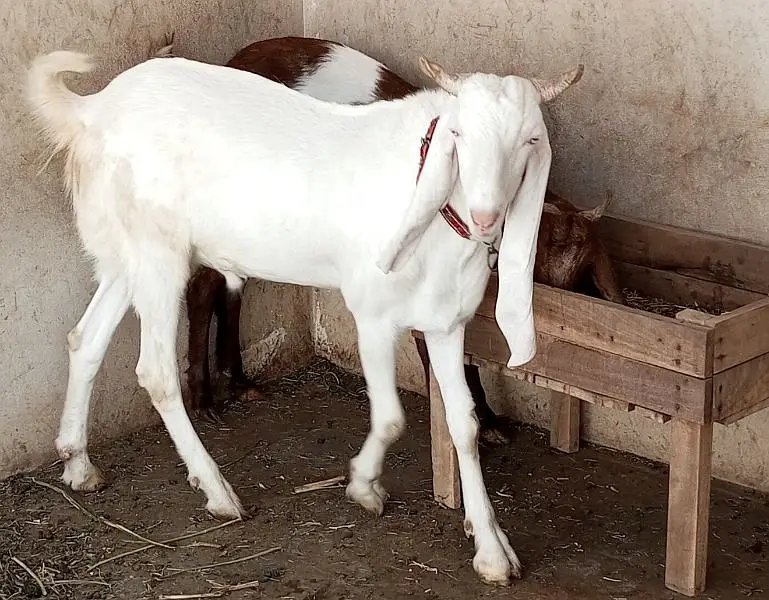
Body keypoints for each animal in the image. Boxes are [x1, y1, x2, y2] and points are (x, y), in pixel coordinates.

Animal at [28, 47, 582, 584]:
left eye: (530, 140)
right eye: (458, 134)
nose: (487, 215)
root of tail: (94, 109)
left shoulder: (445, 323)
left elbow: (462, 424)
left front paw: (491, 550)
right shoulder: (373, 314)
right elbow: (391, 417)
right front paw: (363, 485)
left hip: (127, 253)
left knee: (85, 338)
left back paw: (78, 462)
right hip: (158, 250)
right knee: (155, 371)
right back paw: (218, 492)